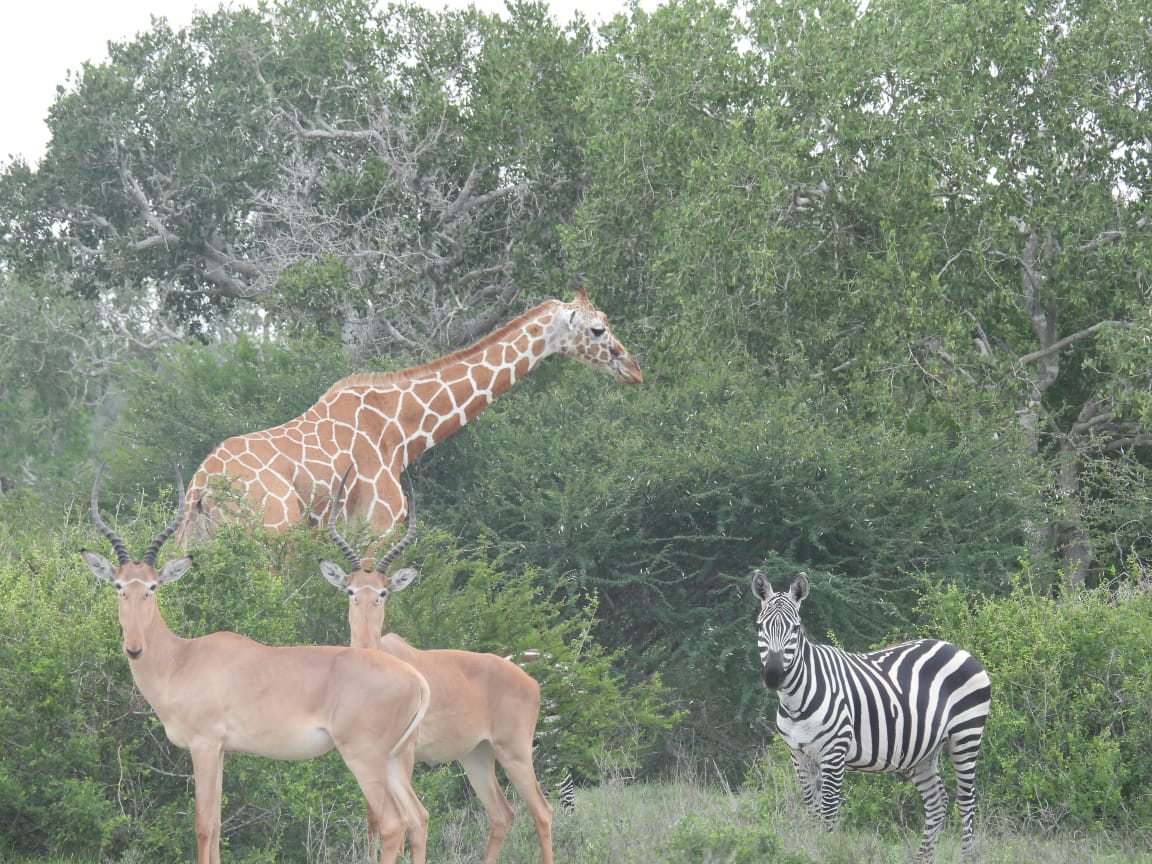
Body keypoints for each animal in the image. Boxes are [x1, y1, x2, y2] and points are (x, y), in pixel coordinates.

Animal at [174, 285, 642, 545]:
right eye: (598, 329)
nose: (634, 369)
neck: (401, 432)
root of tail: (202, 487)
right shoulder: (378, 529)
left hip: (193, 545)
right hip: (269, 538)